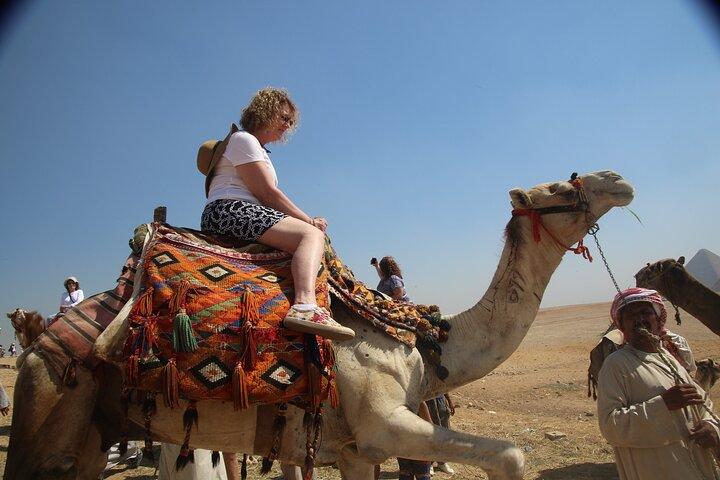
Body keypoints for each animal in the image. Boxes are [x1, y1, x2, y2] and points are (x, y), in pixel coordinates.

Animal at [5, 171, 634, 480]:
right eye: (558, 186)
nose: (617, 178)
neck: (422, 346)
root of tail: (40, 343)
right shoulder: (384, 423)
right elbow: (510, 456)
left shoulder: (356, 450)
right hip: (50, 409)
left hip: (94, 432)